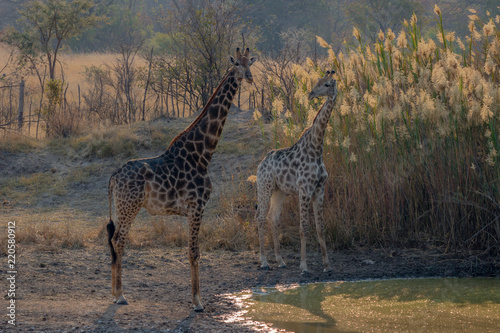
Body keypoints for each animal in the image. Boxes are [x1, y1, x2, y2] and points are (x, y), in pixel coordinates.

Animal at [106, 47, 258, 312]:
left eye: (250, 63)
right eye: (236, 64)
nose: (248, 77)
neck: (203, 154)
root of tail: (114, 177)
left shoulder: (193, 209)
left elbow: (194, 252)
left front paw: (197, 299)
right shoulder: (197, 207)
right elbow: (194, 252)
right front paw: (197, 302)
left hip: (121, 206)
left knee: (116, 241)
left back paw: (116, 294)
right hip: (129, 206)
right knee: (119, 240)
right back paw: (120, 295)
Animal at [256, 70, 338, 274]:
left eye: (327, 84)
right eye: (318, 82)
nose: (311, 94)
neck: (316, 149)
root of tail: (260, 165)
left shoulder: (319, 189)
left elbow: (320, 228)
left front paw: (327, 265)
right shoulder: (304, 190)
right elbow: (303, 228)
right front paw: (304, 266)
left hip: (279, 191)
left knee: (273, 218)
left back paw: (280, 260)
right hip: (264, 187)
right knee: (260, 217)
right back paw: (264, 261)